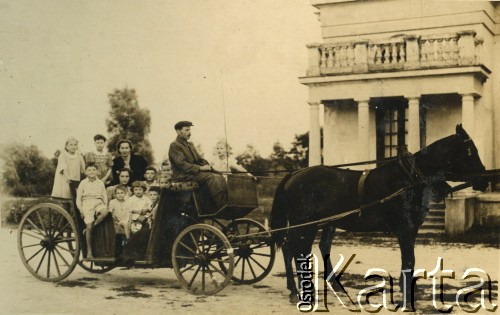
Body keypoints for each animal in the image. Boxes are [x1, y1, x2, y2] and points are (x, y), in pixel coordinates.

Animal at [272, 124, 486, 310]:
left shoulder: (411, 230)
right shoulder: (405, 229)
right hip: (305, 224)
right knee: (292, 249)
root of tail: (293, 175)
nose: (483, 180)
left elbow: (409, 262)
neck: (410, 178)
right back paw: (298, 291)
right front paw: (407, 299)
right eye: (470, 150)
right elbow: (409, 261)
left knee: (299, 249)